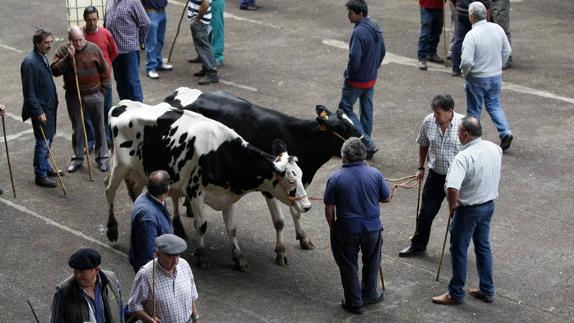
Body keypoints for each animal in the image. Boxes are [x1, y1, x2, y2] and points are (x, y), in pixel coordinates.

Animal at [105, 100, 312, 270]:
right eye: (291, 181)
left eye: (302, 176)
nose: (307, 206)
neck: (222, 154)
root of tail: (121, 105)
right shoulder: (195, 192)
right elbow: (202, 225)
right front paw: (201, 256)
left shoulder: (227, 195)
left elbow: (232, 228)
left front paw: (238, 257)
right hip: (119, 166)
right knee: (109, 190)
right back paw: (112, 229)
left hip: (141, 172)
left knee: (135, 192)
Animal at [164, 86, 364, 266]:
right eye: (342, 128)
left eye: (353, 124)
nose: (368, 148)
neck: (298, 137)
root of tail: (176, 92)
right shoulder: (270, 186)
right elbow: (280, 221)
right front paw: (281, 251)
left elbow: (296, 212)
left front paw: (303, 238)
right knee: (173, 195)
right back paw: (178, 225)